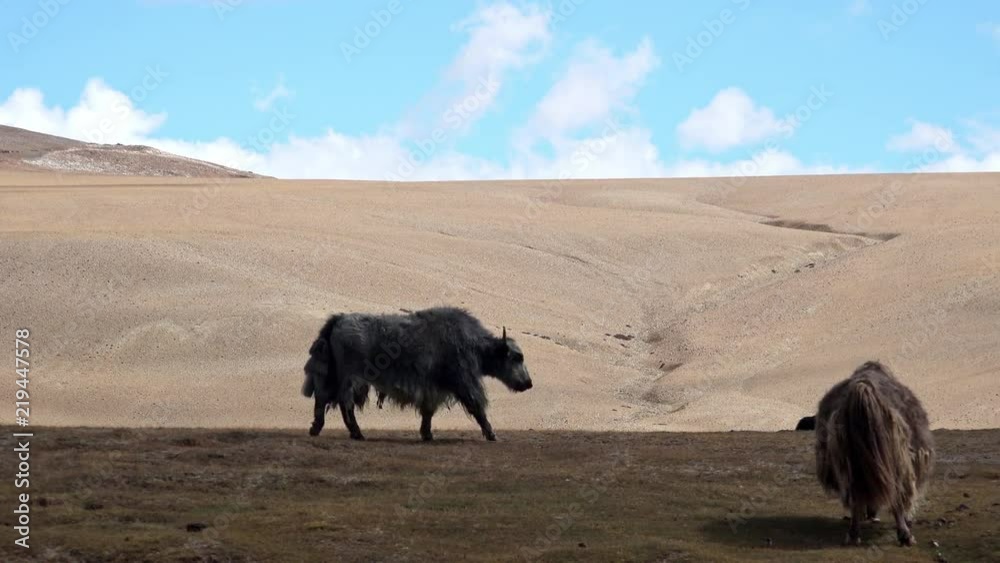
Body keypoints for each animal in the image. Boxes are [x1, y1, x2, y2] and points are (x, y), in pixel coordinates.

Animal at [302, 307, 533, 442]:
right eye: (517, 357)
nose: (528, 383)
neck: (474, 344)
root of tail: (339, 320)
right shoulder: (464, 382)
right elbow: (477, 407)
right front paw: (492, 434)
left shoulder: (433, 387)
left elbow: (428, 411)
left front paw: (427, 434)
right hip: (352, 377)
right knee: (344, 403)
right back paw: (357, 433)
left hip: (334, 375)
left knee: (323, 398)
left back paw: (318, 429)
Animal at [814, 361, 934, 547]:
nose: (871, 514)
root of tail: (863, 389)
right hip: (897, 461)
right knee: (896, 496)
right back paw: (905, 535)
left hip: (849, 463)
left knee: (856, 495)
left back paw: (854, 534)